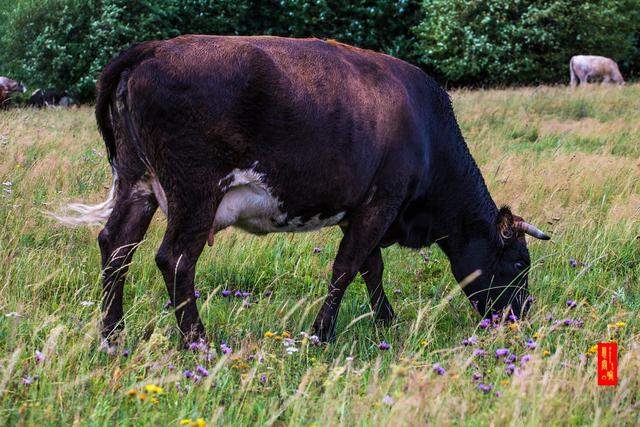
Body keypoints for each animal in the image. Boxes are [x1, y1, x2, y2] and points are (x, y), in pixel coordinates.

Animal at [57, 35, 552, 346]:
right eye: (519, 261)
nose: (521, 316)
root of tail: (153, 49)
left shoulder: (361, 208)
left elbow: (371, 267)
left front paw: (386, 322)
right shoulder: (381, 201)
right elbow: (347, 268)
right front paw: (321, 334)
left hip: (137, 183)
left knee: (116, 246)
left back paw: (112, 335)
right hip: (194, 192)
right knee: (175, 259)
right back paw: (197, 341)